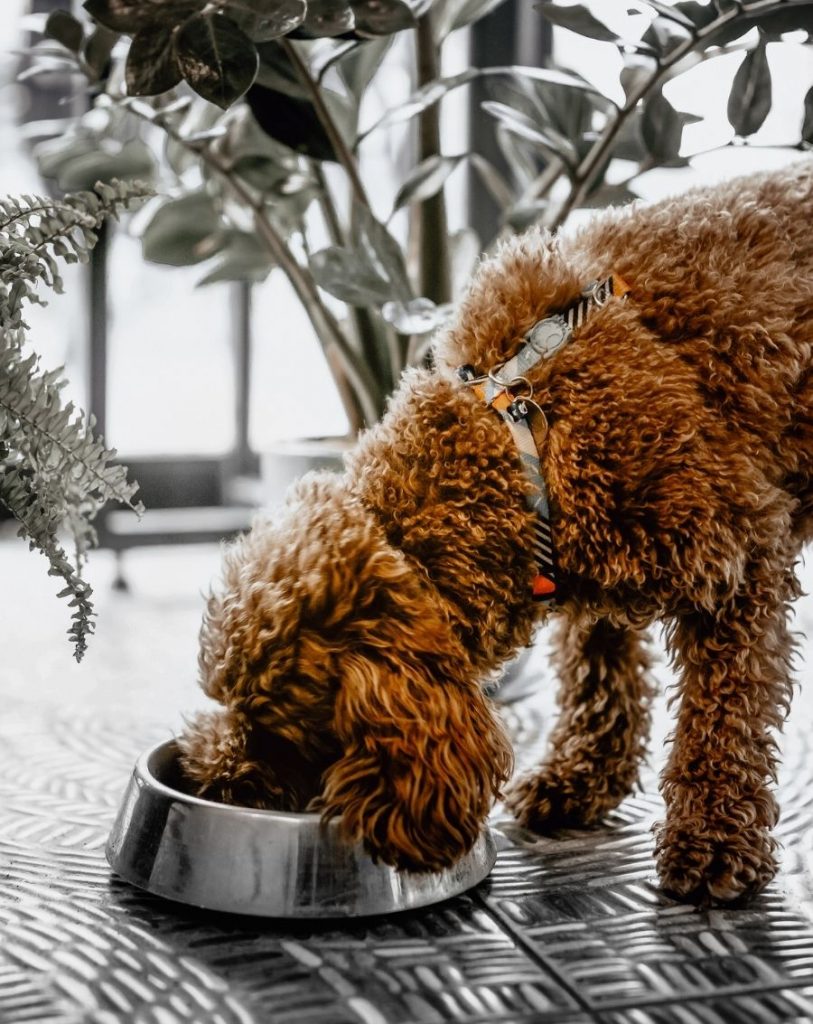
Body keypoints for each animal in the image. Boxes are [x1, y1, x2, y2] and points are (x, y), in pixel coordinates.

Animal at [180, 163, 810, 909]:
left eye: (274, 733)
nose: (209, 778)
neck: (519, 429)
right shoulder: (590, 562)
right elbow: (598, 673)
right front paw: (580, 776)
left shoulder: (739, 556)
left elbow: (724, 716)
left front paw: (711, 838)